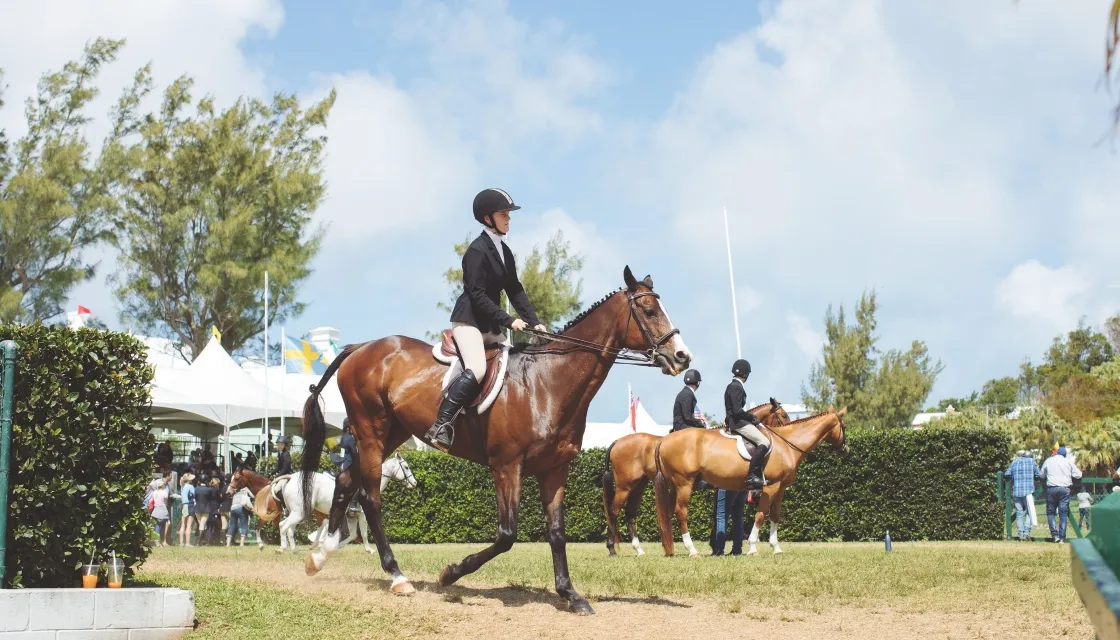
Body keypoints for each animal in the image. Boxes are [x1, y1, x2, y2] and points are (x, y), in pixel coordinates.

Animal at [299, 266, 691, 615]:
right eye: (649, 310)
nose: (682, 357)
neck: (549, 383)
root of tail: (361, 347)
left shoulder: (554, 470)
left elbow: (557, 532)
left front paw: (570, 595)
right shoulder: (507, 467)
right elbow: (506, 534)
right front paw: (450, 574)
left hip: (393, 432)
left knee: (346, 482)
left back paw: (318, 557)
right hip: (371, 431)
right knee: (370, 498)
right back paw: (397, 576)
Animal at [600, 399, 791, 557]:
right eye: (783, 416)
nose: (785, 440)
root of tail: (618, 441)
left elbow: (717, 515)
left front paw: (715, 545)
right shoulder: (720, 489)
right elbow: (720, 515)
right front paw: (715, 546)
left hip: (639, 485)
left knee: (630, 512)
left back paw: (639, 550)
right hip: (626, 485)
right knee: (614, 511)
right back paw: (612, 548)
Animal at [652, 407, 849, 557]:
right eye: (845, 426)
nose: (846, 450)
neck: (787, 445)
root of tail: (664, 440)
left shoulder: (781, 488)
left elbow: (775, 515)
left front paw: (776, 547)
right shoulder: (771, 487)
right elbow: (761, 515)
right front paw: (753, 547)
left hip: (674, 486)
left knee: (668, 512)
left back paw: (670, 549)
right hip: (684, 484)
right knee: (681, 512)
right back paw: (692, 550)